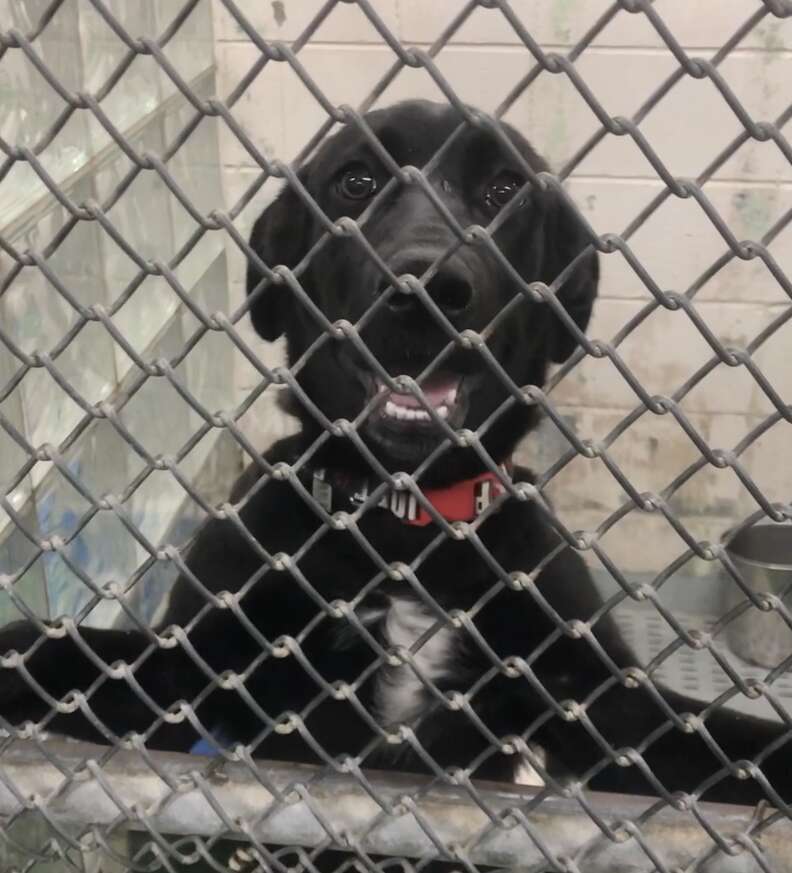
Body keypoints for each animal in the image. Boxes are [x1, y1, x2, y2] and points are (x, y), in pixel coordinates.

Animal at [1, 99, 792, 816]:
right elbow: (71, 654)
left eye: (503, 190)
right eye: (355, 182)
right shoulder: (194, 663)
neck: (405, 521)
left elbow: (731, 741)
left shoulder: (597, 699)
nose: (427, 288)